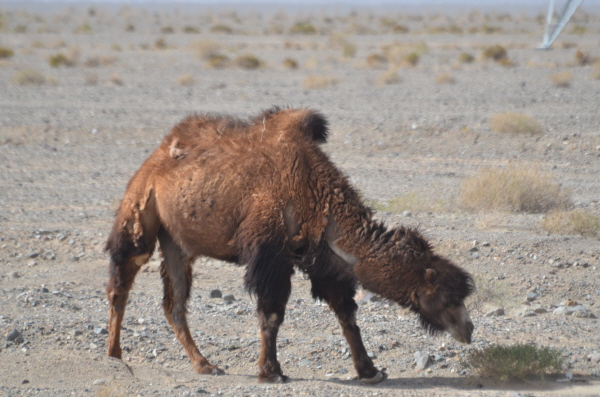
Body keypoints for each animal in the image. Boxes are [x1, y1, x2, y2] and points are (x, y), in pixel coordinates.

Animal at [105, 106, 476, 384]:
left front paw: (369, 370)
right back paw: (114, 354)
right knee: (122, 280)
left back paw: (205, 364)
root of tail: (157, 156)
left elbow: (346, 314)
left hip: (177, 242)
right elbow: (271, 314)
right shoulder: (271, 255)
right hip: (140, 210)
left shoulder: (322, 259)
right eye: (449, 297)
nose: (469, 329)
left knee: (175, 303)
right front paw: (271, 372)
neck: (316, 194)